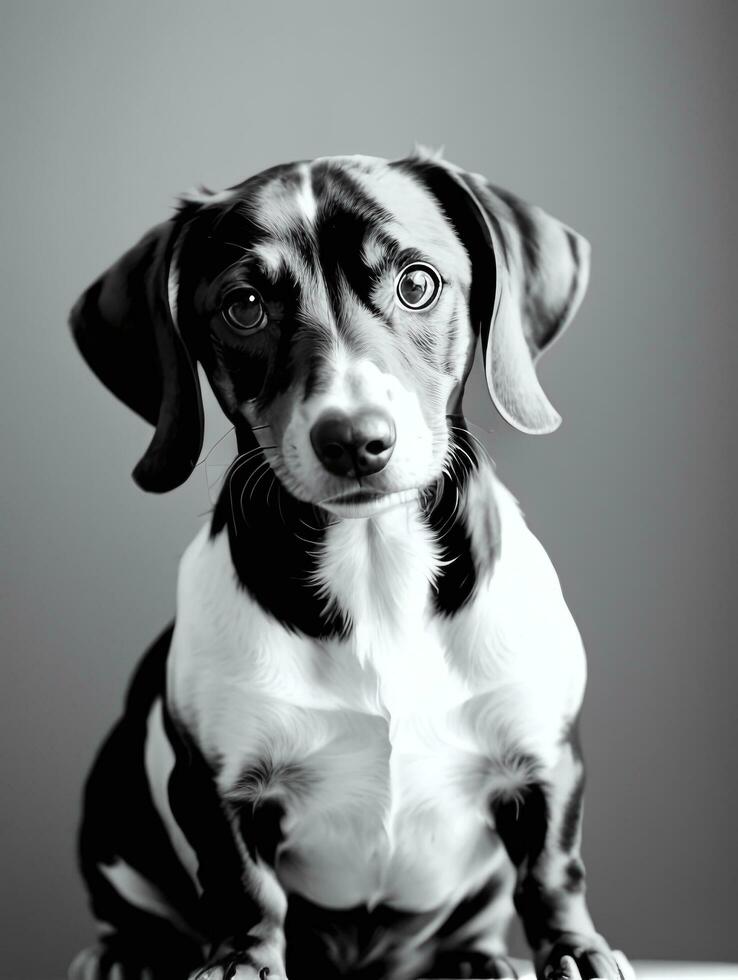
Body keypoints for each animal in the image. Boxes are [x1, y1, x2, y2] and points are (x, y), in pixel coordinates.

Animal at [69, 149, 628, 980]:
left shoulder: (546, 756)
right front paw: (242, 960)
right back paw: (123, 953)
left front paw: (576, 951)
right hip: (112, 797)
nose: (356, 440)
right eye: (244, 306)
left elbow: (551, 872)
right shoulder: (215, 783)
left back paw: (475, 957)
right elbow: (244, 887)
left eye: (417, 283)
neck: (376, 570)